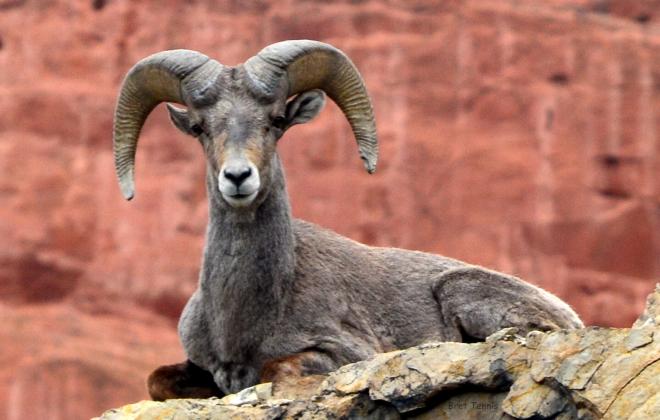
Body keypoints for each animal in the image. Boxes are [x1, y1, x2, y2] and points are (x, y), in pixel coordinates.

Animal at [113, 39, 584, 400]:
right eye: (200, 127)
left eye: (276, 121)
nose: (238, 177)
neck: (242, 319)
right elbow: (156, 380)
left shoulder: (345, 352)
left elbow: (275, 370)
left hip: (463, 290)